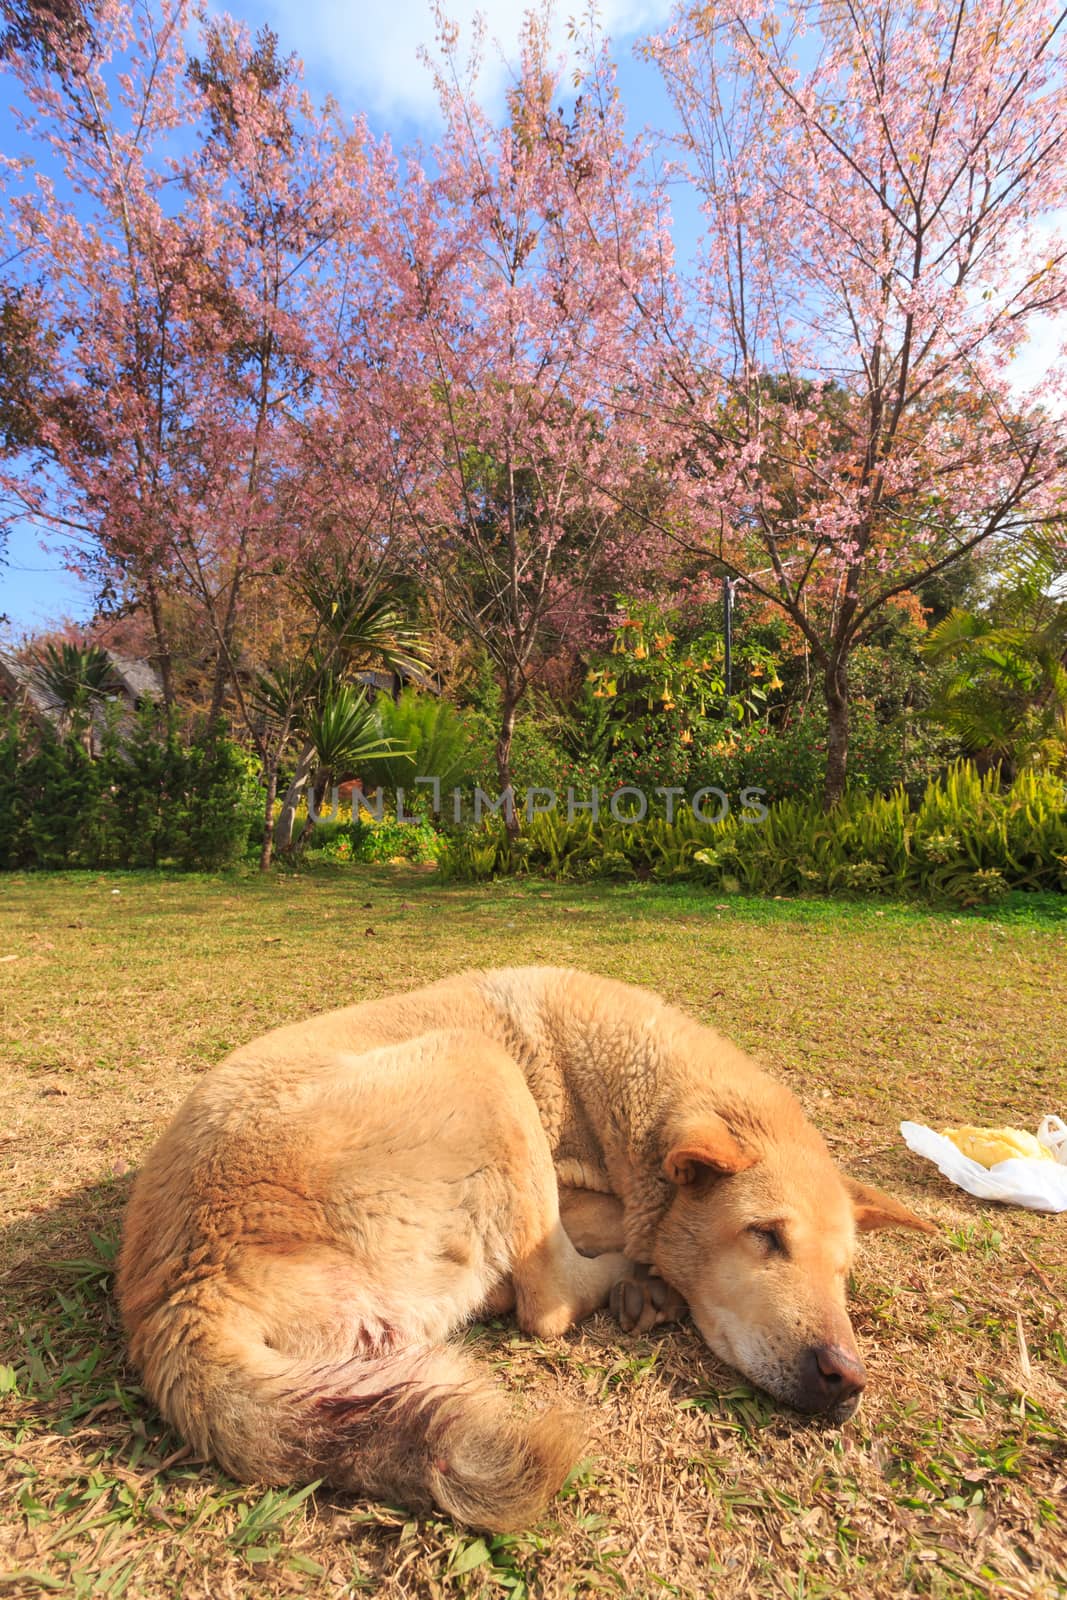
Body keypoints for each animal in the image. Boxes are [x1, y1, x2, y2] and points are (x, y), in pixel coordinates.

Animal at [119, 966, 934, 1529]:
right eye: (765, 1236)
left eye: (843, 1272)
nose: (846, 1380)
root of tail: (181, 1298)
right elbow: (608, 1238)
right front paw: (646, 1263)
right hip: (480, 1063)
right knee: (548, 1302)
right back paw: (636, 1284)